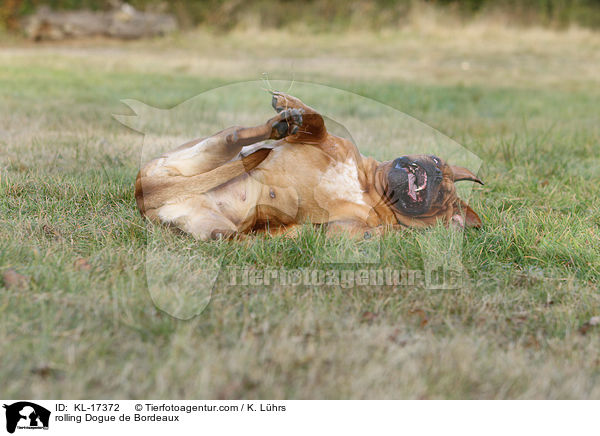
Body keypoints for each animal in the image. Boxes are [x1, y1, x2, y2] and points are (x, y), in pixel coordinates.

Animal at [136, 93, 482, 242]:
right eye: (437, 162)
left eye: (441, 201)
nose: (434, 175)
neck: (371, 189)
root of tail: (147, 193)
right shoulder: (323, 140)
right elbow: (318, 122)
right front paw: (295, 108)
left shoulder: (345, 230)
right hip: (204, 152)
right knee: (236, 134)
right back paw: (277, 124)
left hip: (216, 224)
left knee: (239, 236)